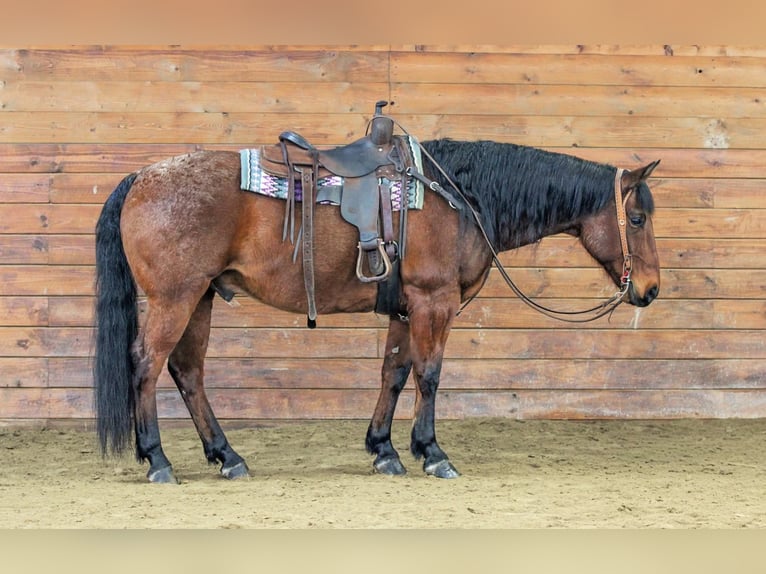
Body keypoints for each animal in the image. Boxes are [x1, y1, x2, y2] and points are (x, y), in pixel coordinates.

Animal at [93, 136, 660, 483]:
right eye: (635, 218)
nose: (651, 289)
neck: (460, 197)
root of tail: (142, 176)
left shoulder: (405, 308)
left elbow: (394, 373)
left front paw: (384, 449)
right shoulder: (434, 300)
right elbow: (428, 374)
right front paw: (432, 452)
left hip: (202, 297)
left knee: (188, 371)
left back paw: (226, 456)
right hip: (176, 298)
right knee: (146, 366)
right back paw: (158, 460)